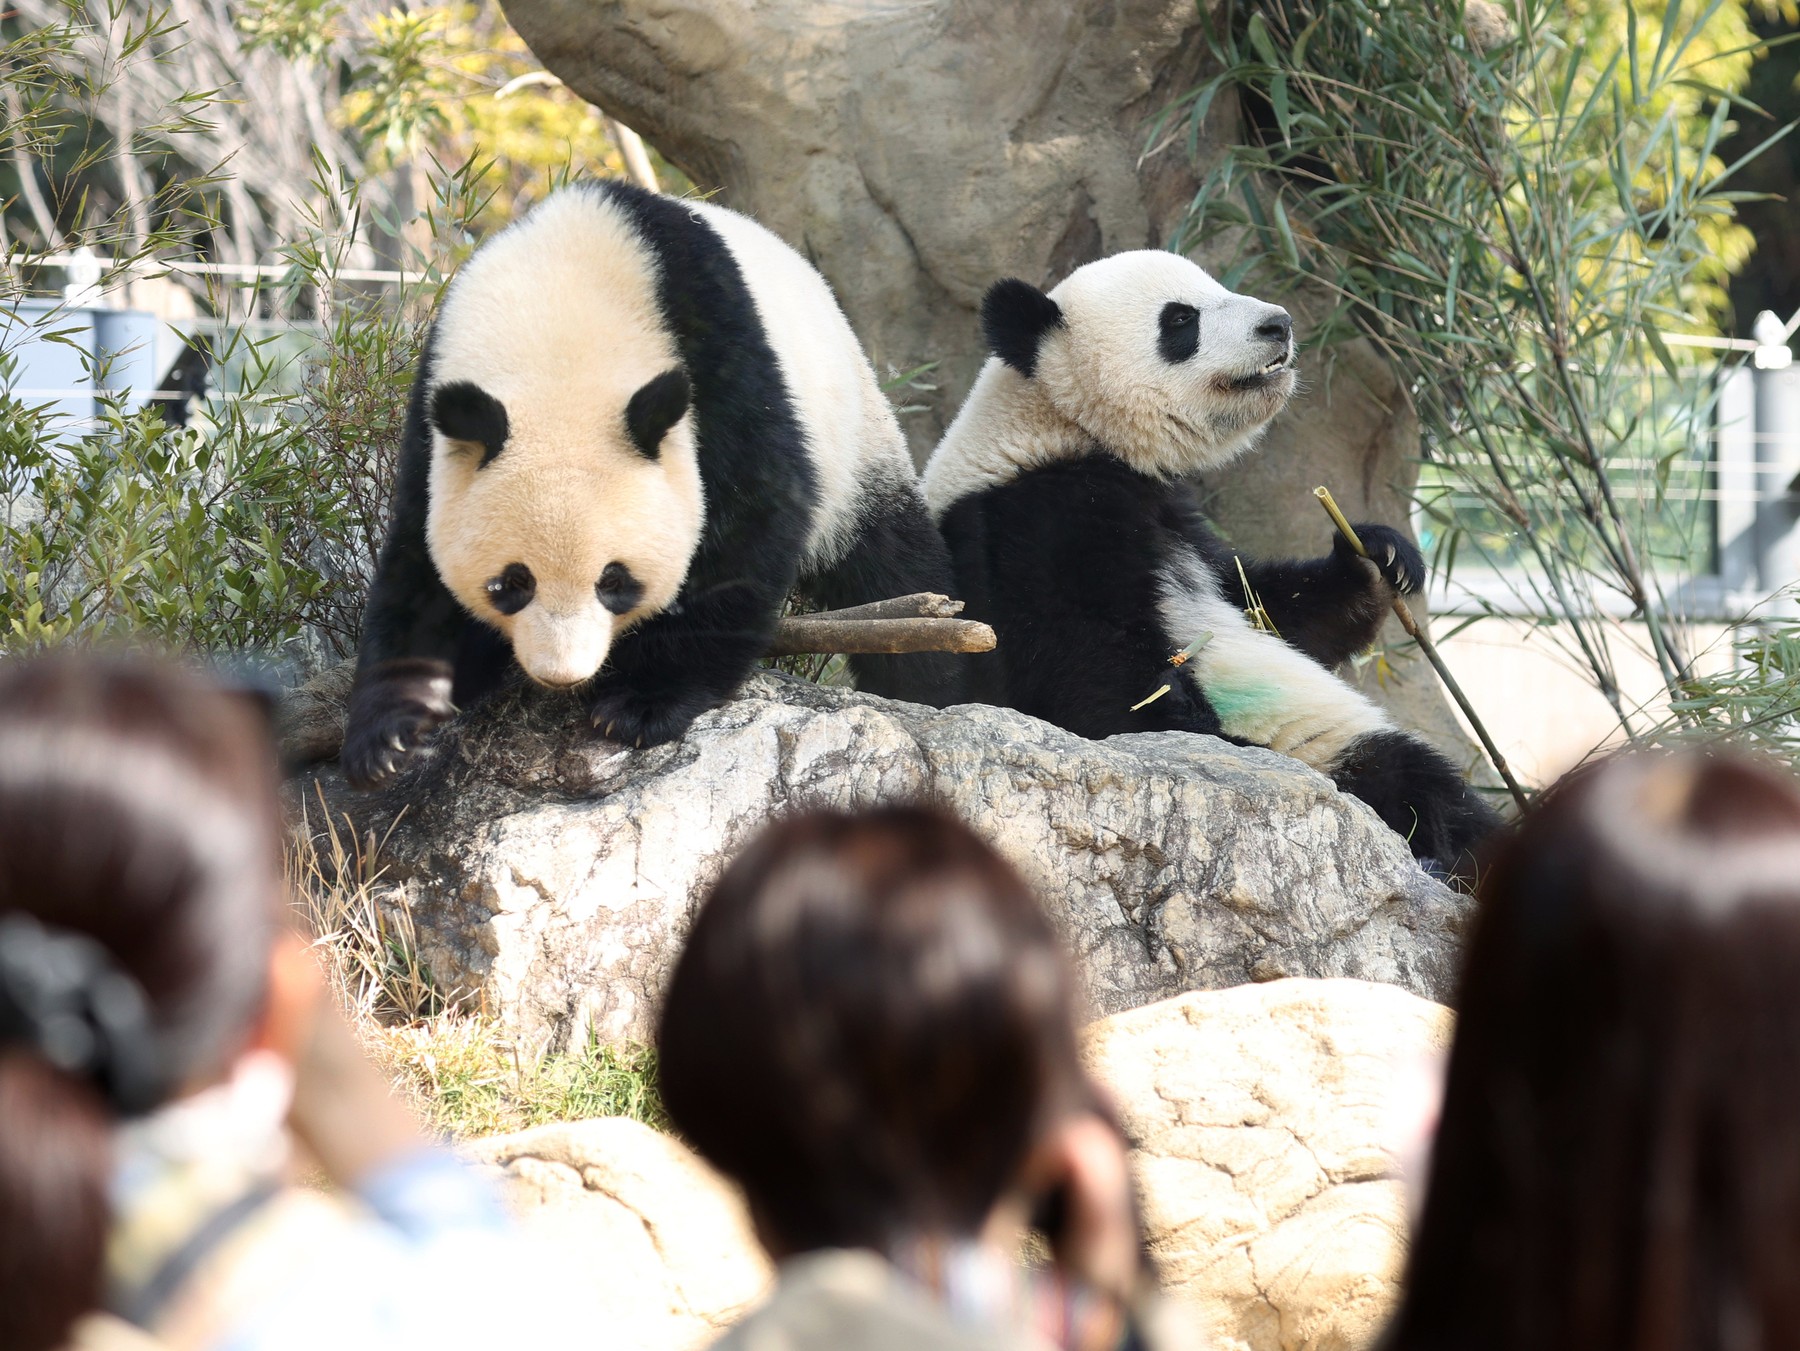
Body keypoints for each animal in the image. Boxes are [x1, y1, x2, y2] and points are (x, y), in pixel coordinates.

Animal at [343, 181, 964, 788]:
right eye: (511, 583)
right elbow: (417, 562)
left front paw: (642, 704)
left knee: (893, 568)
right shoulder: (435, 421)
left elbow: (749, 522)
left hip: (851, 437)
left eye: (614, 581)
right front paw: (394, 730)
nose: (562, 674)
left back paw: (941, 687)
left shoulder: (719, 359)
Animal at [921, 250, 1496, 872]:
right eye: (1181, 320)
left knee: (1427, 785)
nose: (1278, 324)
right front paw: (1203, 735)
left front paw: (1379, 554)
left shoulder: (1183, 524)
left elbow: (1272, 608)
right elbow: (1097, 684)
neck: (1061, 428)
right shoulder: (1033, 527)